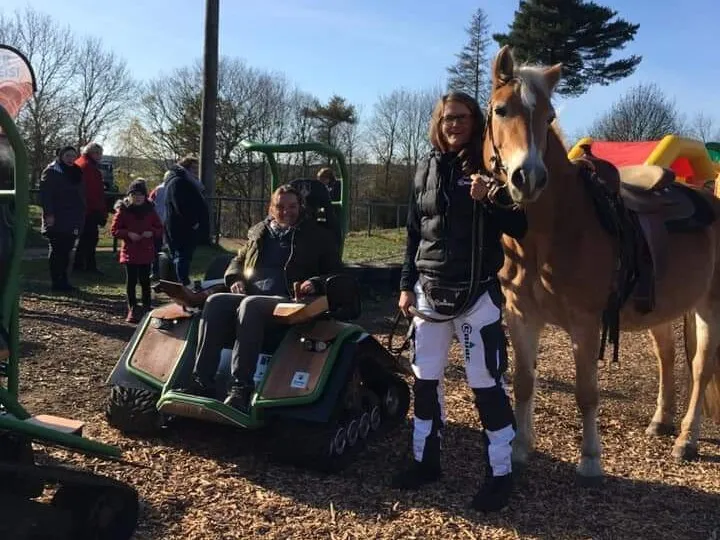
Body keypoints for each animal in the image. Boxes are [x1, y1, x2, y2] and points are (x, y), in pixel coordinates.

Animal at [482, 45, 720, 483]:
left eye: (549, 116)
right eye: (502, 109)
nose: (529, 178)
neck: (553, 229)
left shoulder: (585, 322)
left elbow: (586, 392)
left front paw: (591, 459)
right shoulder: (522, 315)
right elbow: (523, 383)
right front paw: (521, 448)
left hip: (709, 308)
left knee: (700, 368)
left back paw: (686, 440)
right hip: (660, 310)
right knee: (667, 358)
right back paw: (661, 422)